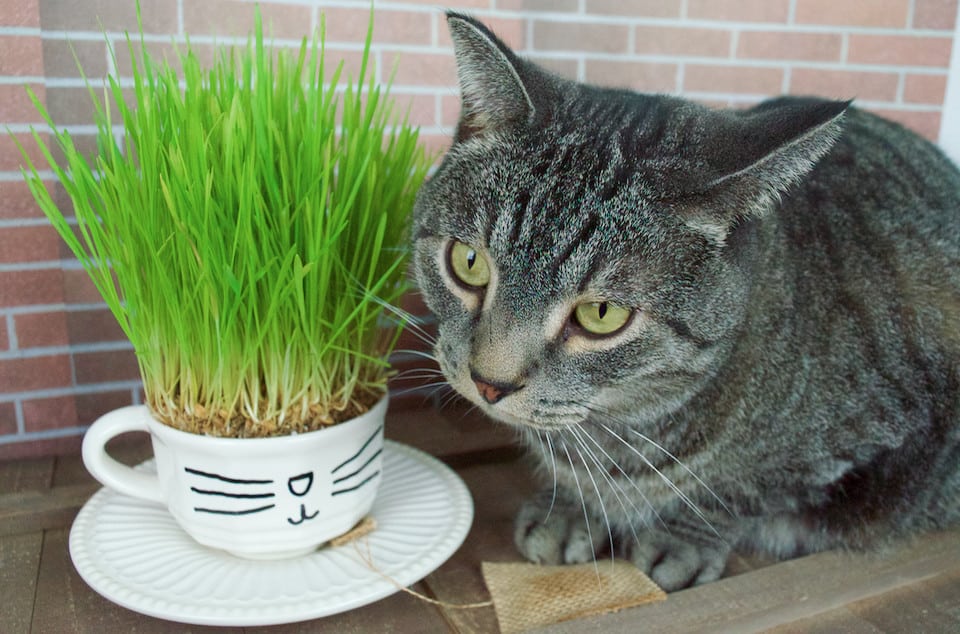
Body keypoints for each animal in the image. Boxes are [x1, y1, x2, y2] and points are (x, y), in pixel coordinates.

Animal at [412, 12, 960, 592]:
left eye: (601, 314)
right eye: (469, 262)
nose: (489, 383)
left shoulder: (885, 445)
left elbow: (739, 491)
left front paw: (683, 536)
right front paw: (572, 508)